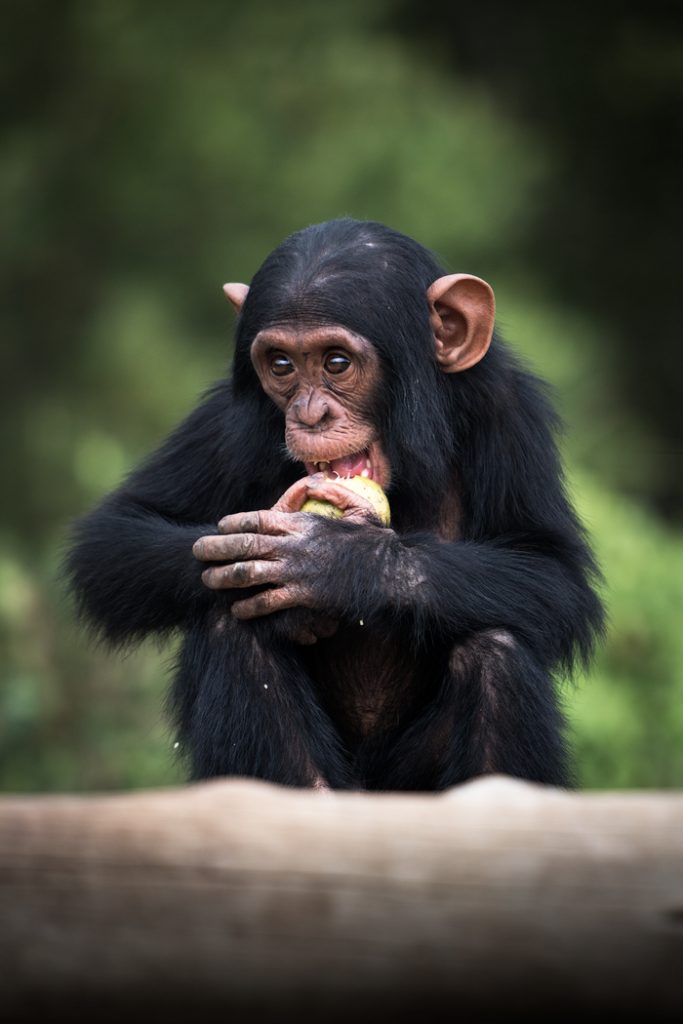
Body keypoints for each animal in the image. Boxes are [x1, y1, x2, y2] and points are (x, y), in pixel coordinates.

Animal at [66, 220, 602, 786]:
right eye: (281, 365)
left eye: (336, 362)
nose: (309, 413)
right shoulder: (228, 419)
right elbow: (115, 537)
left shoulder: (508, 408)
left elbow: (552, 570)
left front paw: (335, 561)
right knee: (230, 624)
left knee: (497, 651)